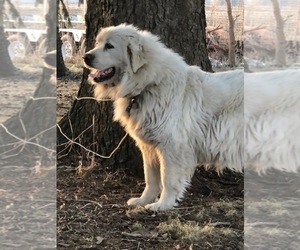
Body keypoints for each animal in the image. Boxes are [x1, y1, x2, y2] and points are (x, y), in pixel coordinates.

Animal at [82, 23, 244, 211]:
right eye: (98, 43)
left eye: (109, 46)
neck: (149, 84)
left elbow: (167, 179)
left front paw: (162, 204)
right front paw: (143, 200)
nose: (85, 57)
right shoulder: (149, 147)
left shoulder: (171, 147)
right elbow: (150, 178)